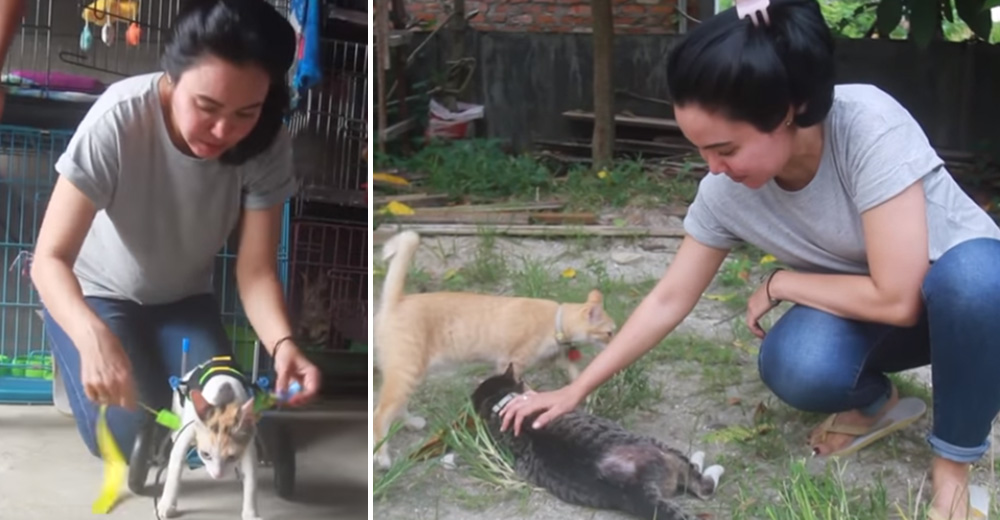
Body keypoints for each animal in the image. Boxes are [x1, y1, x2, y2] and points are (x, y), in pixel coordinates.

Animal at [374, 231, 616, 468]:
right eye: (610, 333)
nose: (614, 341)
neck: (555, 322)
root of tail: (398, 300)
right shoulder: (512, 362)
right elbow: (521, 387)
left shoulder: (554, 357)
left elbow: (576, 373)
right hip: (407, 372)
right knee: (381, 414)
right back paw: (383, 458)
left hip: (412, 374)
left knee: (397, 407)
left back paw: (412, 423)